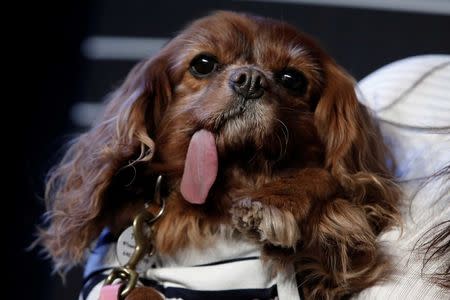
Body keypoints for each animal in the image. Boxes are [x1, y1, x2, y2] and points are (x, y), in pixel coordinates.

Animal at [39, 10, 400, 298]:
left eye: (292, 79)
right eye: (203, 64)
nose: (250, 79)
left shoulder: (329, 271)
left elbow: (328, 183)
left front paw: (276, 202)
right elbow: (142, 292)